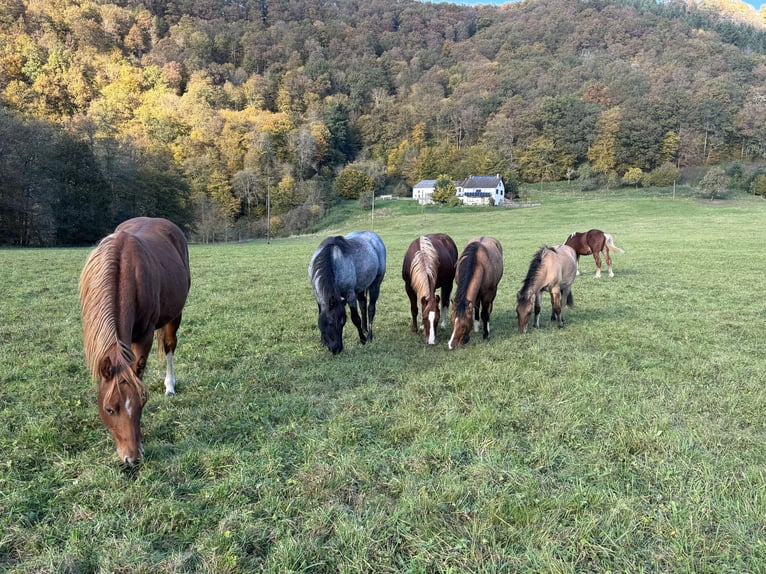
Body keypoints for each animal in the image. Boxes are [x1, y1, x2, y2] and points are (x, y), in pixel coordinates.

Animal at [79, 218, 190, 466]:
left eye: (143, 402)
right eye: (109, 409)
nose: (132, 459)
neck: (123, 271)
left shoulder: (145, 335)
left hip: (175, 315)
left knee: (169, 346)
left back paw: (170, 385)